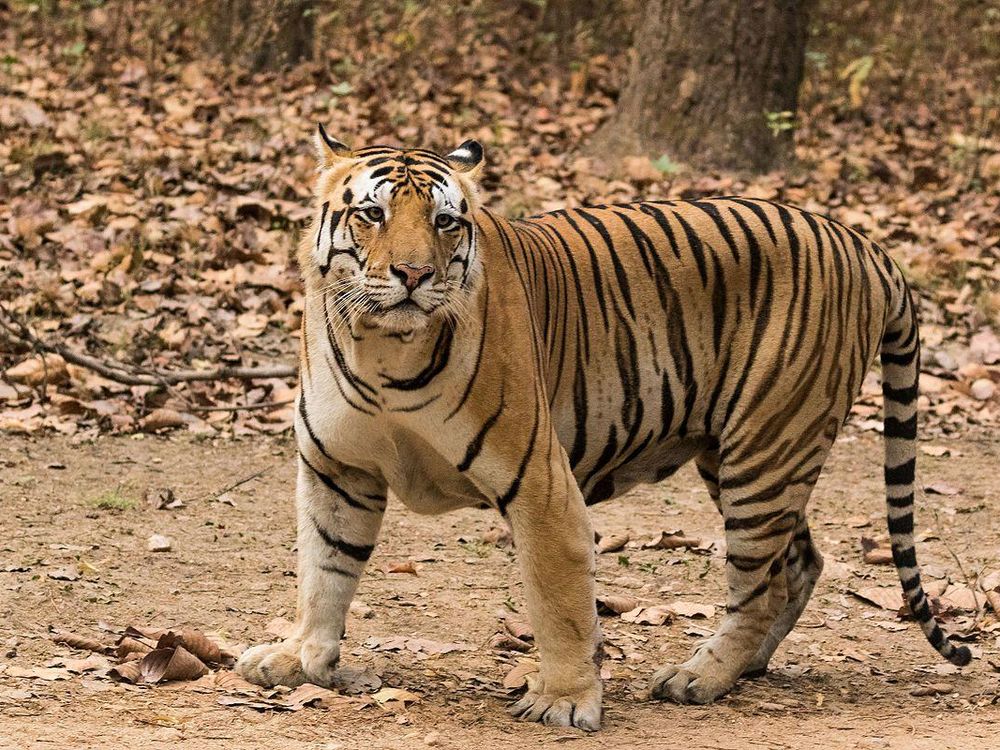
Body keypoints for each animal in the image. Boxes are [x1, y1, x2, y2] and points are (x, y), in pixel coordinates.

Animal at [234, 126, 968, 732]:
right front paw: (302, 660)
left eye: (444, 222)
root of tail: (862, 243)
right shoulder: (338, 469)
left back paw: (700, 676)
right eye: (373, 214)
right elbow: (324, 569)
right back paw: (747, 666)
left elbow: (559, 599)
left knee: (759, 584)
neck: (381, 349)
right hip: (739, 454)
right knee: (800, 563)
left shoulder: (539, 480)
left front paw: (563, 699)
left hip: (767, 448)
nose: (413, 275)